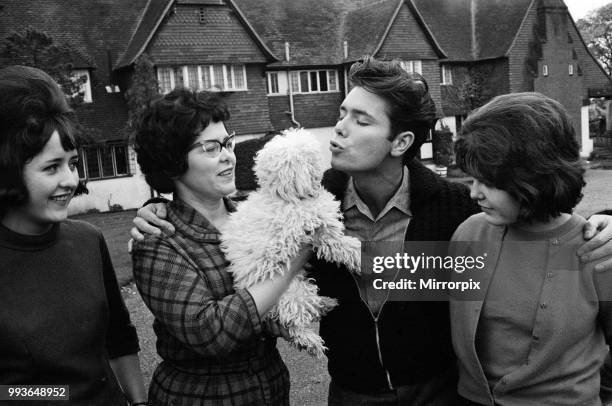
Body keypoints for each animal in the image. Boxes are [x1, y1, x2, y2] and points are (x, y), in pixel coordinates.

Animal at [220, 128, 360, 356]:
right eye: (311, 161)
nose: (321, 173)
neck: (285, 197)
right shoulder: (313, 230)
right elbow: (339, 243)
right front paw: (359, 253)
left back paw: (326, 303)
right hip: (292, 295)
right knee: (293, 324)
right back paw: (312, 342)